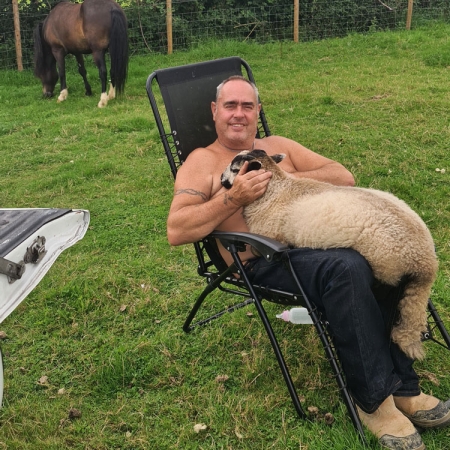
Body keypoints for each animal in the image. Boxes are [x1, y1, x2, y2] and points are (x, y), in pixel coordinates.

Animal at [221, 149, 440, 360]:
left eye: (234, 168)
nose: (222, 181)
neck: (276, 188)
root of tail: (426, 263)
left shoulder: (270, 236)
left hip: (386, 267)